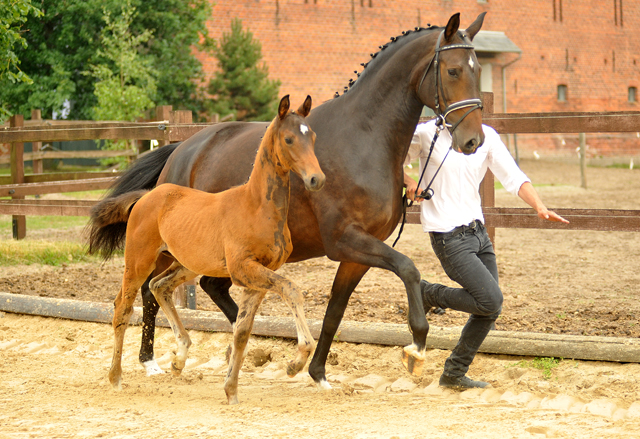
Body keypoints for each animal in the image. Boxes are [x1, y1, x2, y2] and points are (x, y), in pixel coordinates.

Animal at [87, 97, 322, 406]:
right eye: (289, 139)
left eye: (313, 137)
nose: (317, 179)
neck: (256, 207)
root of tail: (146, 196)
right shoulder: (243, 269)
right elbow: (291, 289)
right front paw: (296, 363)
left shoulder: (257, 276)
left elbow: (242, 331)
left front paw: (231, 391)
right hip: (139, 260)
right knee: (123, 307)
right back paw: (116, 377)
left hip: (186, 263)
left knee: (158, 286)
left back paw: (180, 358)